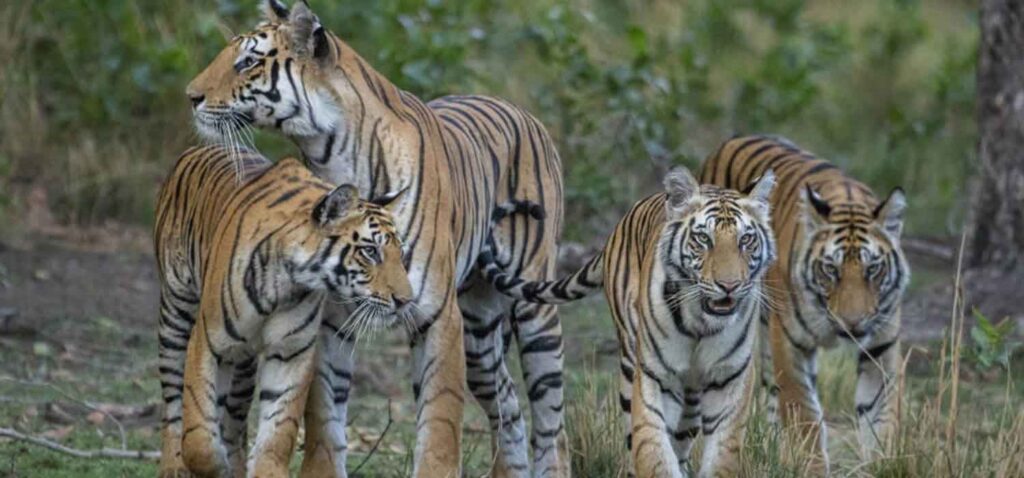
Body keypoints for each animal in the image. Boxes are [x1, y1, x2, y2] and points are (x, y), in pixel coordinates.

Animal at [153, 146, 409, 478]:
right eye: (370, 251)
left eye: (400, 253)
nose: (405, 300)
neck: (289, 280)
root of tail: (198, 148)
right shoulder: (207, 340)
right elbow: (197, 431)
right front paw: (213, 464)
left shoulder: (291, 352)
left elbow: (279, 426)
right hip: (176, 317)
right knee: (174, 402)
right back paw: (174, 465)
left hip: (243, 363)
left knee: (234, 419)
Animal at [184, 1, 569, 476]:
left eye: (249, 62)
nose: (191, 96)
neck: (328, 155)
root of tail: (516, 107)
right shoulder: (330, 318)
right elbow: (324, 415)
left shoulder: (437, 315)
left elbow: (441, 420)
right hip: (479, 332)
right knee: (508, 404)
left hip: (534, 315)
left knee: (552, 422)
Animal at [479, 166, 774, 476]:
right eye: (704, 239)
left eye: (745, 240)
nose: (729, 286)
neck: (701, 325)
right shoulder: (655, 376)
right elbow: (653, 448)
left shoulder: (731, 378)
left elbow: (721, 453)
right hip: (630, 363)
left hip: (691, 394)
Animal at [700, 136, 909, 470]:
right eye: (831, 270)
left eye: (872, 269)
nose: (853, 323)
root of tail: (729, 141)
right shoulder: (789, 343)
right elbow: (805, 415)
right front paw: (813, 466)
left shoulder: (882, 348)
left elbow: (881, 415)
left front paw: (882, 465)